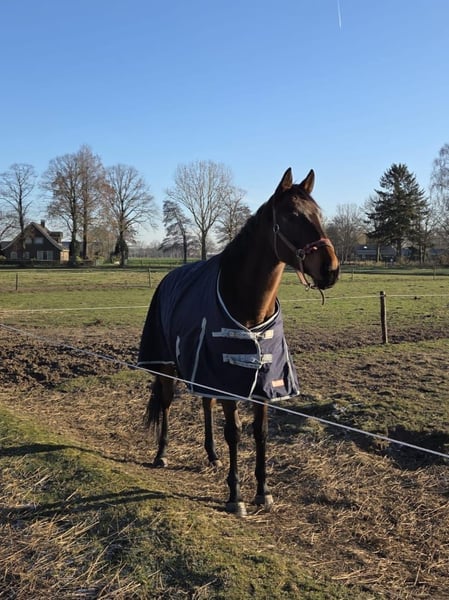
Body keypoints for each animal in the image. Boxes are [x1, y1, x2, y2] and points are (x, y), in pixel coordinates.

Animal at [138, 168, 339, 516]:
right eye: (291, 215)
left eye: (318, 214)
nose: (331, 269)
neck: (248, 304)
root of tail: (167, 277)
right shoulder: (227, 375)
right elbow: (234, 433)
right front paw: (235, 496)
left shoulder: (264, 379)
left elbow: (260, 433)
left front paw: (263, 491)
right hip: (166, 364)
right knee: (166, 403)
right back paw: (162, 454)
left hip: (200, 369)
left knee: (205, 403)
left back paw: (212, 455)